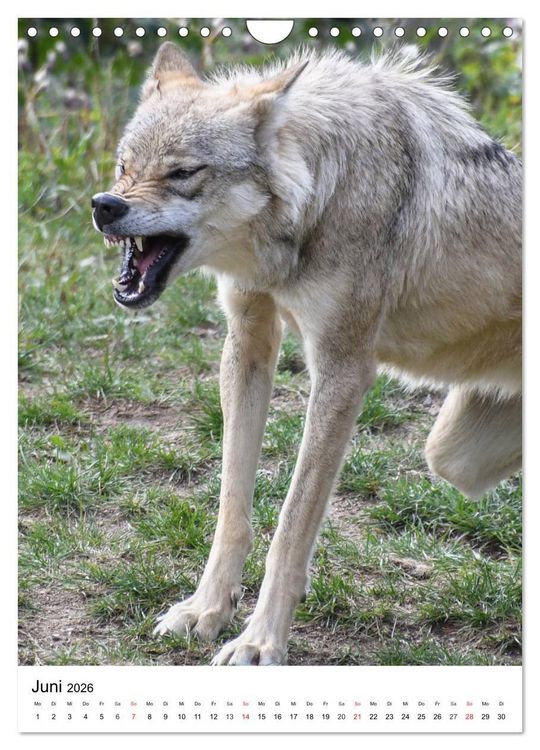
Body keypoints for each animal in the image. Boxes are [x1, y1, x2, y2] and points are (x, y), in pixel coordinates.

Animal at [92, 43, 522, 665]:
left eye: (182, 173)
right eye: (124, 166)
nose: (105, 206)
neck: (317, 197)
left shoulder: (343, 371)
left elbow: (292, 526)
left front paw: (259, 642)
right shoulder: (247, 342)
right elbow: (231, 507)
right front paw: (207, 610)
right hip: (454, 455)